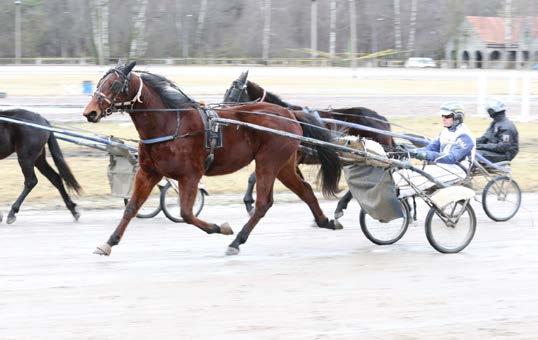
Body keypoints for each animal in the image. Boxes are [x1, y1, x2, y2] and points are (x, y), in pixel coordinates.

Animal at [81, 62, 342, 256]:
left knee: (263, 203)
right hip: (284, 164)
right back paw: (325, 221)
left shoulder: (190, 175)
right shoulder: (149, 172)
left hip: (268, 162)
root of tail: (289, 113)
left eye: (115, 84)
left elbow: (186, 213)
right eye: (99, 82)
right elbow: (131, 208)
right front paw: (108, 243)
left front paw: (220, 228)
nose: (89, 112)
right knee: (305, 190)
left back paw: (236, 241)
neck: (170, 124)